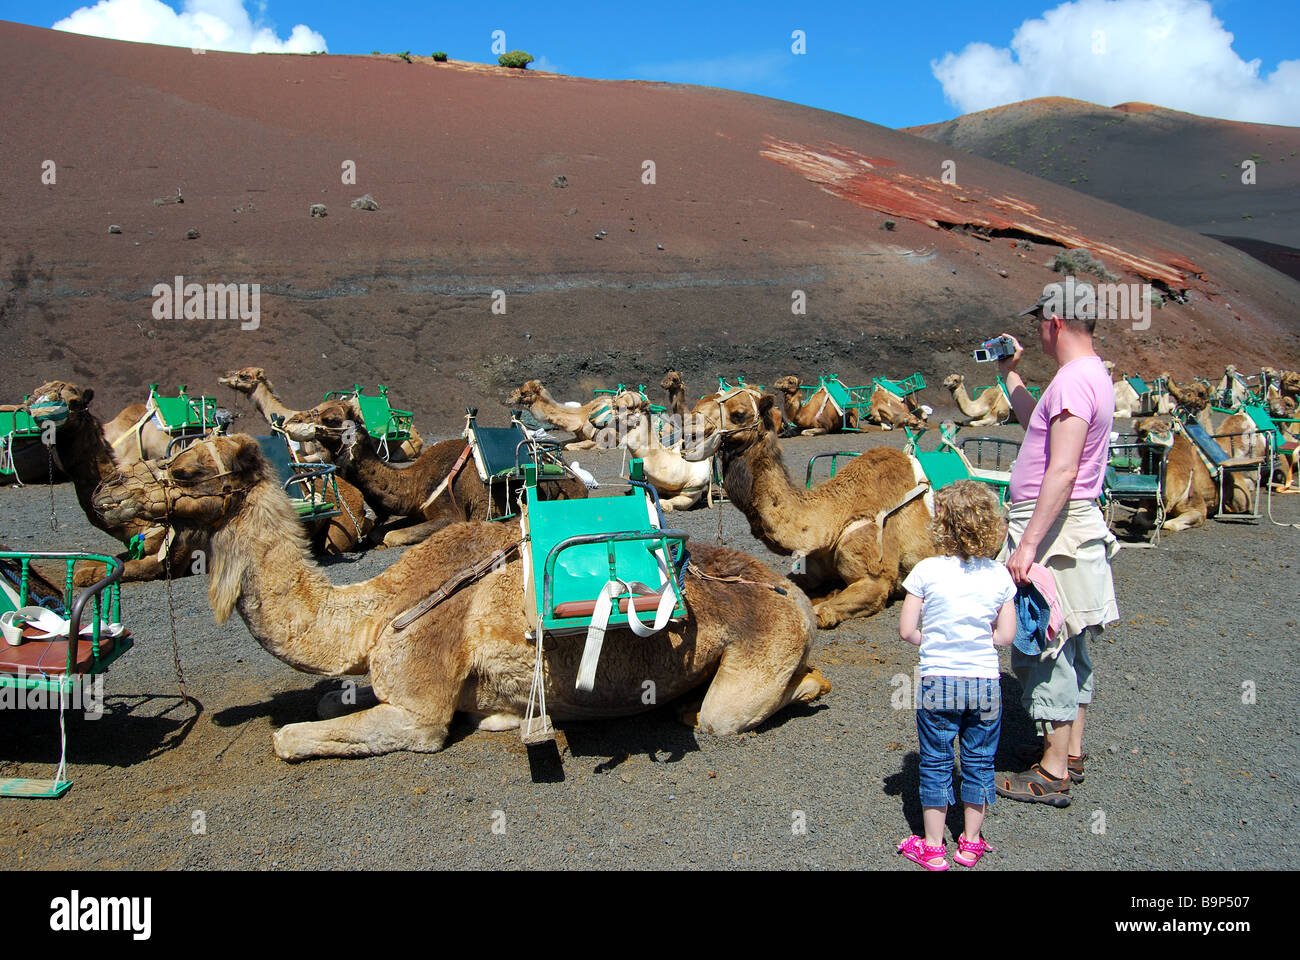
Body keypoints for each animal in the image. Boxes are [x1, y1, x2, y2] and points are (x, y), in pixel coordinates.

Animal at [89, 434, 832, 754]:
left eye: (185, 470)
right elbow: (329, 699)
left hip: (757, 655)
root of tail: (789, 595)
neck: (373, 613)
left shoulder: (418, 711)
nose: (104, 492)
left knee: (740, 709)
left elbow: (290, 739)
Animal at [289, 395, 590, 546]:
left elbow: (390, 536)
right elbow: (378, 532)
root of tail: (579, 481)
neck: (417, 482)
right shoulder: (417, 509)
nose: (292, 420)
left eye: (330, 418)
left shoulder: (452, 514)